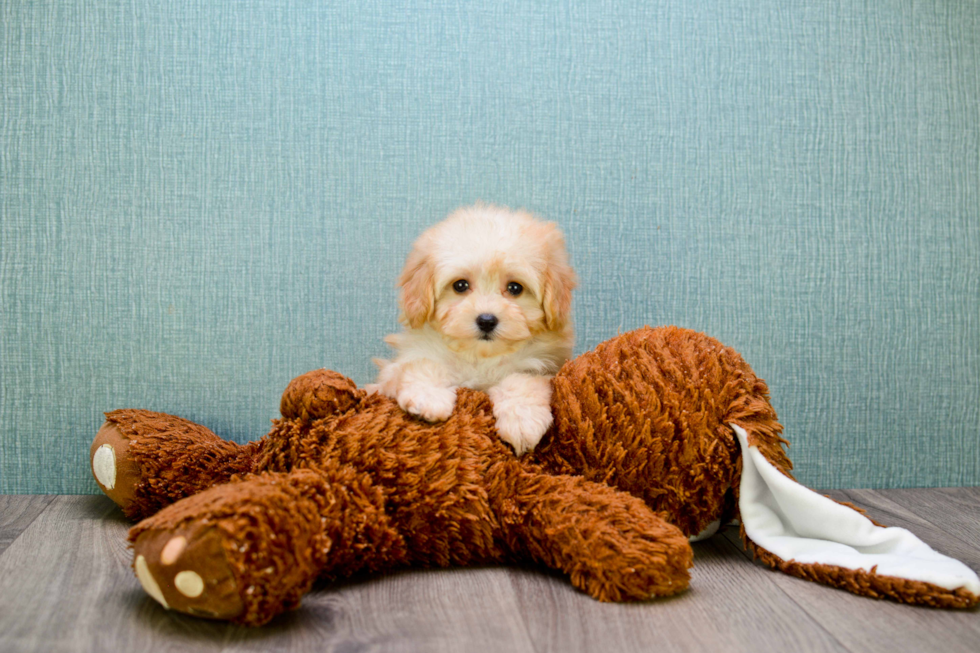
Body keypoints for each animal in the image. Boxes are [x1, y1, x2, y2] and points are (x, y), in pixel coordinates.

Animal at [372, 202, 580, 454]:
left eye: (515, 288)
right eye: (460, 286)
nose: (487, 320)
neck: (480, 357)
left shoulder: (541, 367)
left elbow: (521, 382)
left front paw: (523, 420)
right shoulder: (392, 374)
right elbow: (422, 365)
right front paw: (427, 398)